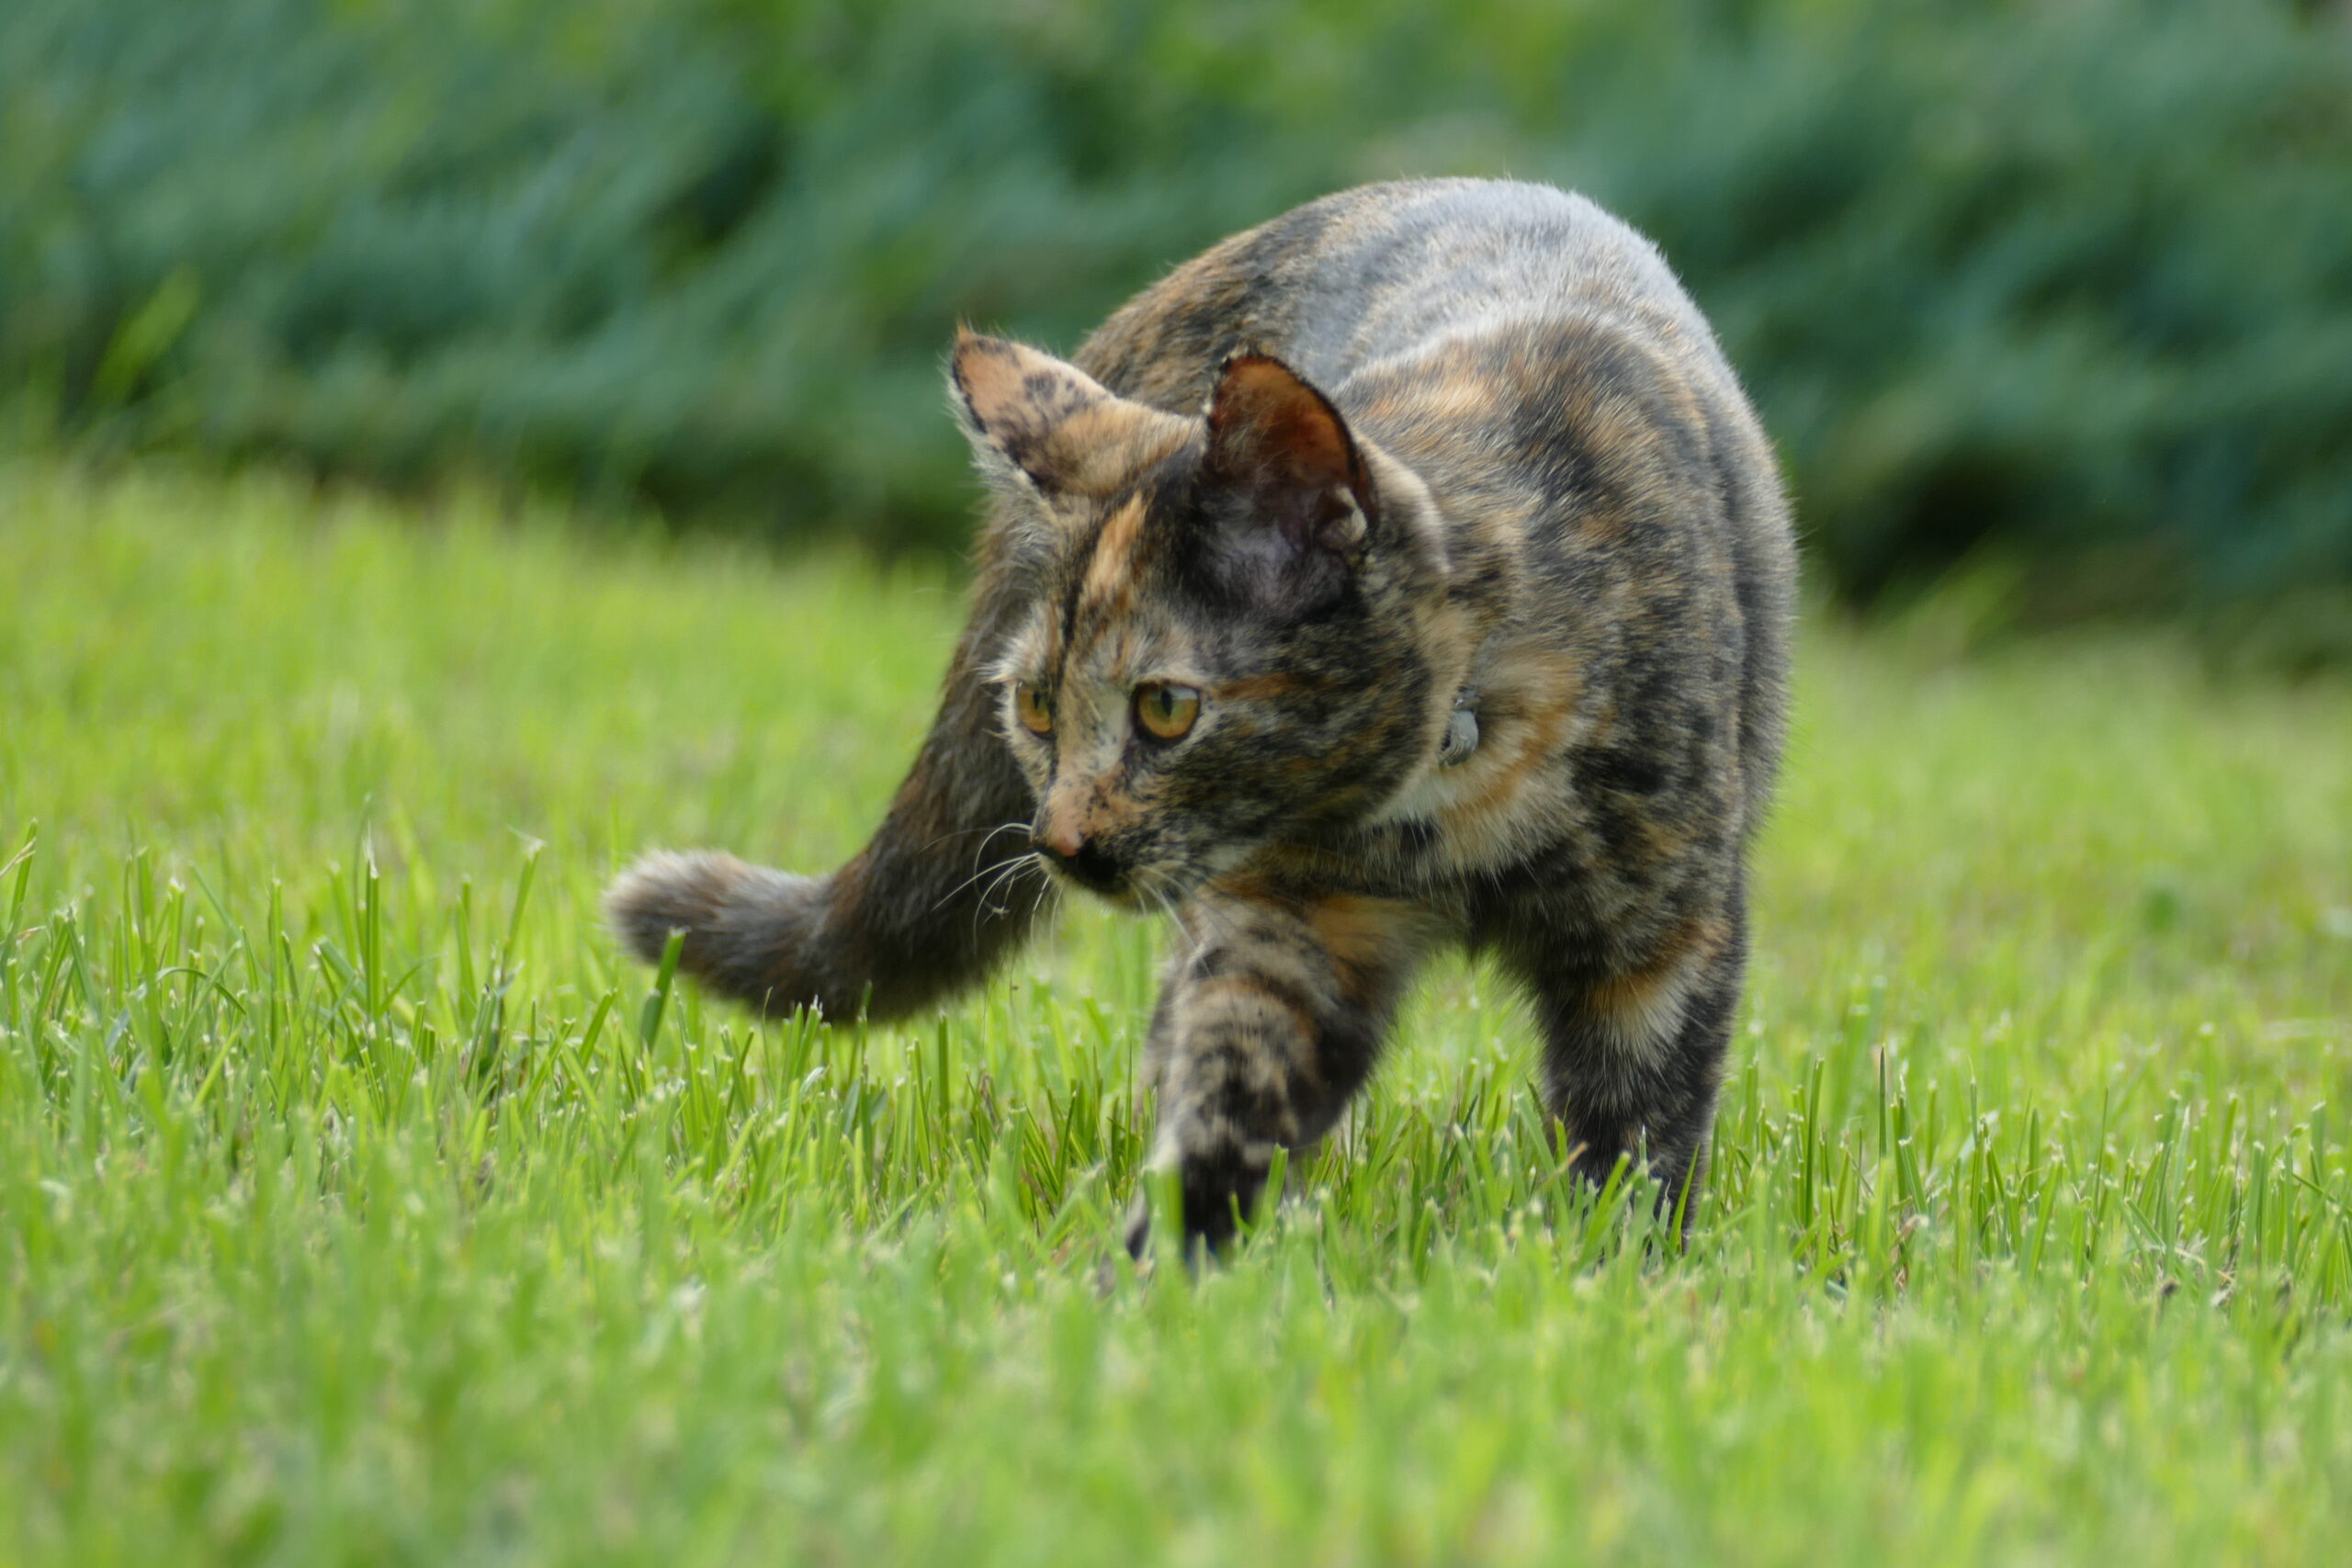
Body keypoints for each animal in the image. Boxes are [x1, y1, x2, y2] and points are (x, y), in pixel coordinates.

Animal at [608, 178, 1795, 1255]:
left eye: (1167, 710)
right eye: (1036, 707)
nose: (1059, 842)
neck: (1452, 795)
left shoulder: (1662, 947)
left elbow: (1638, 1144)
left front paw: (1622, 1275)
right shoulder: (1288, 926)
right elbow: (1229, 1097)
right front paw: (1159, 1274)